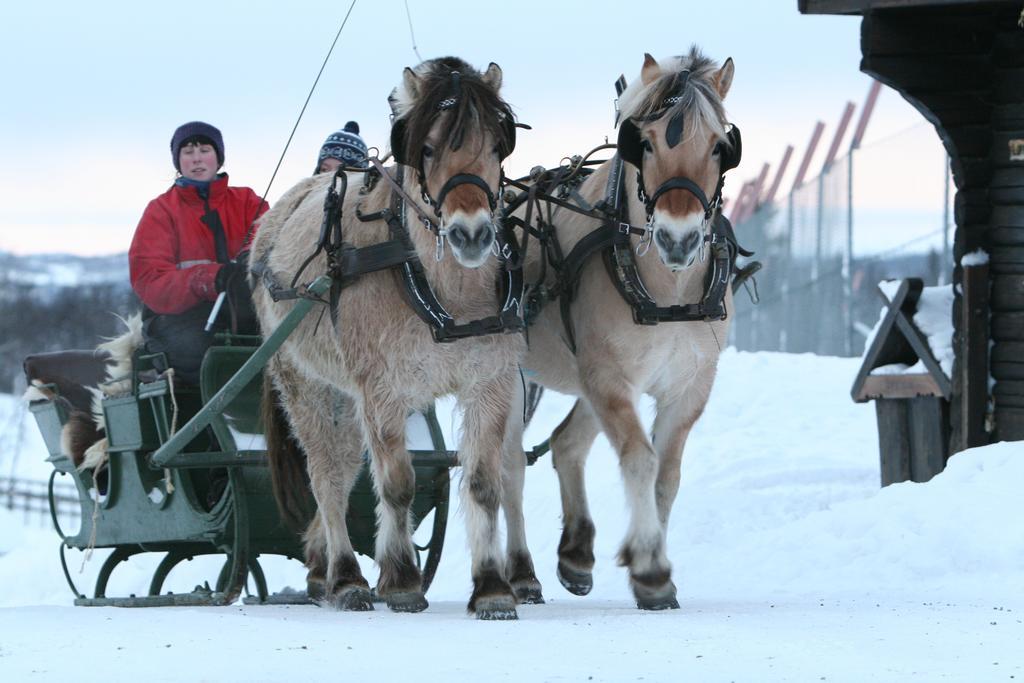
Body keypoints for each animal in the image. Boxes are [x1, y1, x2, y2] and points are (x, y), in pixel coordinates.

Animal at [251, 57, 528, 618]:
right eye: (427, 148)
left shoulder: (489, 382)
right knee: (327, 476)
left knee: (344, 468)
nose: (471, 235)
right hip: (306, 383)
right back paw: (345, 577)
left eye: (497, 146)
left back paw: (323, 568)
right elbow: (398, 484)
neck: (441, 290)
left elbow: (484, 483)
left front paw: (492, 587)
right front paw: (400, 581)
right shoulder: (381, 389)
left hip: (345, 395)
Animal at [501, 49, 737, 614]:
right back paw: (521, 574)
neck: (669, 293)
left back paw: (575, 554)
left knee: (565, 443)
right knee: (508, 467)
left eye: (720, 147)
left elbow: (667, 475)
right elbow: (639, 461)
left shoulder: (689, 386)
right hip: (517, 375)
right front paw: (650, 568)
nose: (678, 240)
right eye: (644, 143)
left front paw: (652, 564)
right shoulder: (609, 378)